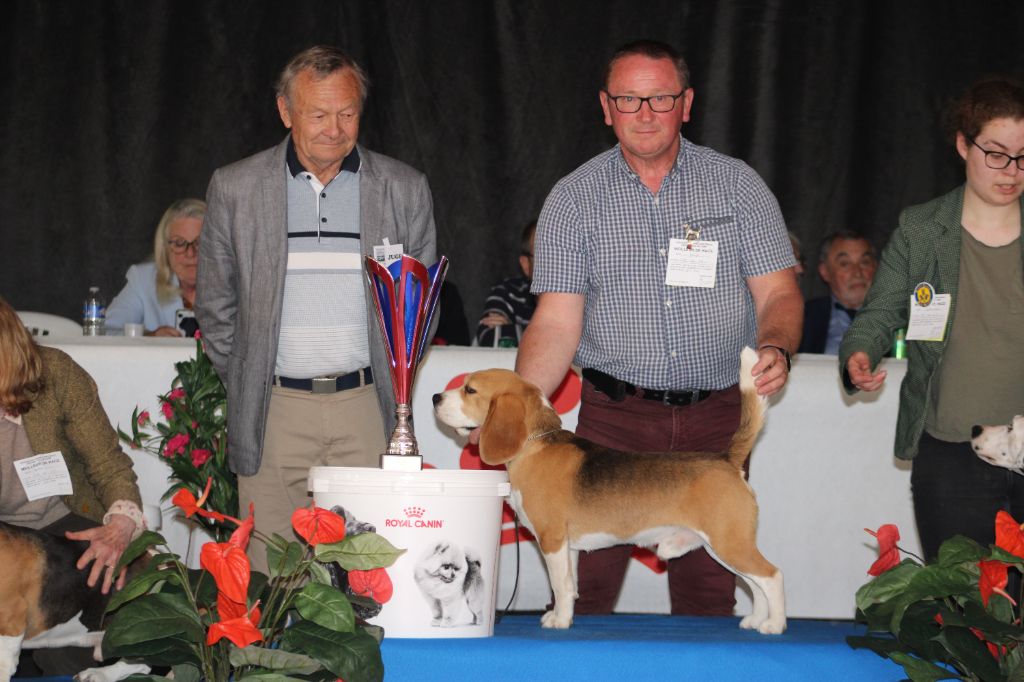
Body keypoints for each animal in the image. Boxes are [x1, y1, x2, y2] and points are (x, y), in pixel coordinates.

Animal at [430, 346, 782, 630]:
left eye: (470, 389)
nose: (435, 397)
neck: (536, 443)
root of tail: (726, 458)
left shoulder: (552, 539)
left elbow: (559, 585)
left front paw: (559, 622)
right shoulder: (568, 546)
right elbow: (570, 585)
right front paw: (563, 616)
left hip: (729, 542)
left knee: (772, 576)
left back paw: (774, 625)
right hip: (723, 547)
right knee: (756, 584)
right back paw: (755, 620)